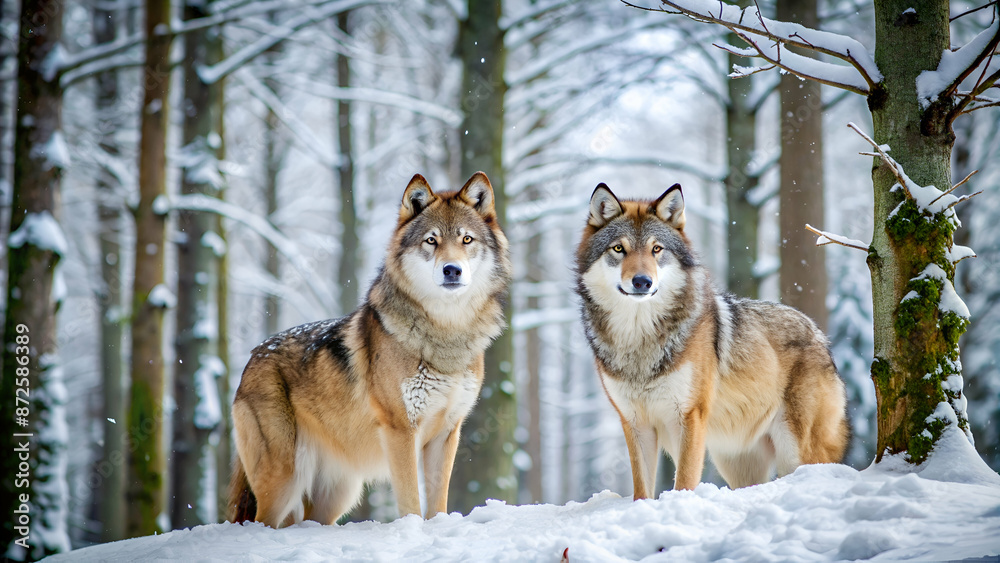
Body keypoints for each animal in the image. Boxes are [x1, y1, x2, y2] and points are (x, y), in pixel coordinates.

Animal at [228, 172, 511, 527]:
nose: (452, 270)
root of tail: (254, 355)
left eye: (467, 240)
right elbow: (410, 501)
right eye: (431, 241)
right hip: (282, 483)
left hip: (334, 498)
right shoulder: (400, 430)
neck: (446, 333)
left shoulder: (447, 433)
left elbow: (437, 503)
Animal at [575, 183, 848, 497]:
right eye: (619, 249)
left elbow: (683, 482)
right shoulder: (635, 423)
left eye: (657, 249)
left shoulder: (690, 416)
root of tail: (820, 336)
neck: (640, 338)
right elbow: (642, 491)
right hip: (736, 464)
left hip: (797, 454)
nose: (642, 281)